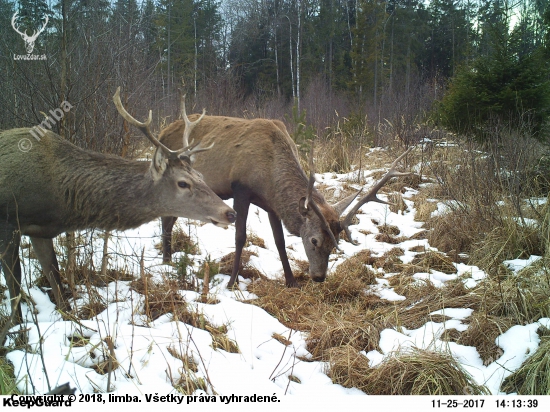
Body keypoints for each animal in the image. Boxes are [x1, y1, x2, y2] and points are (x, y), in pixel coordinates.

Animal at [0, 87, 235, 322]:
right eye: (183, 183)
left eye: (201, 175)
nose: (230, 213)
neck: (61, 204)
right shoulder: (9, 224)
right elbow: (14, 285)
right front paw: (18, 328)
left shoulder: (41, 231)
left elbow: (54, 276)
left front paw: (69, 317)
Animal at [160, 104, 414, 288]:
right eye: (314, 240)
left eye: (335, 242)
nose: (319, 277)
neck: (268, 174)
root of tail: (162, 133)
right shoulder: (240, 189)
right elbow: (240, 237)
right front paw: (232, 282)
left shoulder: (272, 204)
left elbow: (280, 241)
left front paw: (291, 281)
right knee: (165, 217)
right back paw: (166, 260)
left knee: (169, 218)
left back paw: (168, 259)